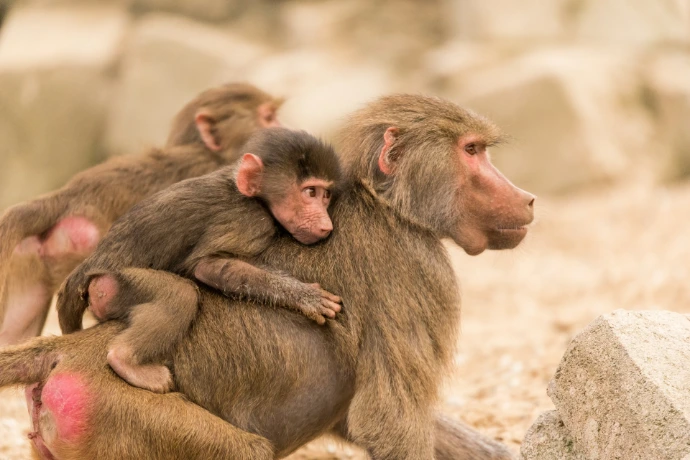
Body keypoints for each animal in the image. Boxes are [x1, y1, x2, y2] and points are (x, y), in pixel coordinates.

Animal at [56, 128, 344, 393]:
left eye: (326, 195)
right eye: (310, 192)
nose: (326, 224)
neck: (253, 196)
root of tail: (87, 269)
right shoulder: (249, 220)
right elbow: (209, 266)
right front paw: (304, 296)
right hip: (115, 285)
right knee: (180, 294)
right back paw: (125, 360)